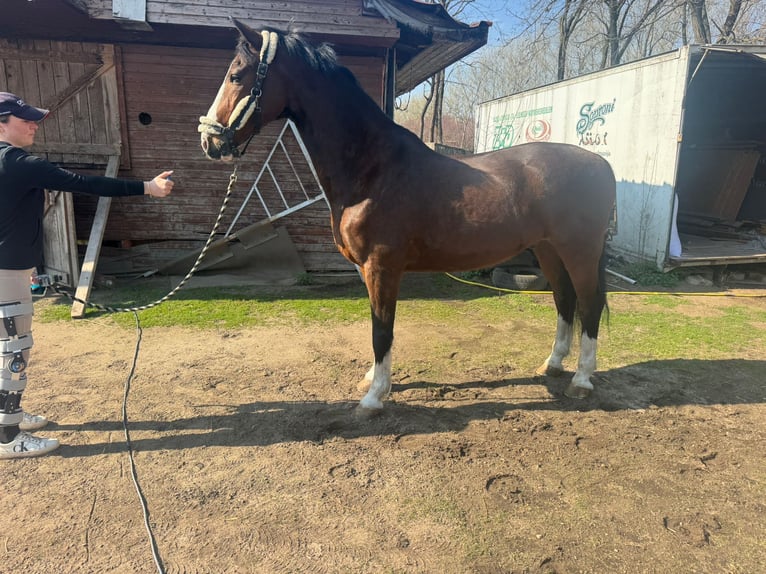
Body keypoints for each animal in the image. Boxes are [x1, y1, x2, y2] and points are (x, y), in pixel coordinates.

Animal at [199, 20, 617, 410]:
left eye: (236, 76)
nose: (209, 140)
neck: (372, 169)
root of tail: (601, 164)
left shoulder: (382, 266)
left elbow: (381, 328)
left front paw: (374, 398)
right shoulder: (368, 269)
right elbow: (378, 323)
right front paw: (373, 380)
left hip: (579, 250)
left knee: (589, 303)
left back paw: (581, 380)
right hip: (548, 250)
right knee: (564, 300)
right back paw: (552, 364)